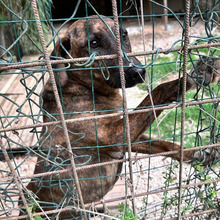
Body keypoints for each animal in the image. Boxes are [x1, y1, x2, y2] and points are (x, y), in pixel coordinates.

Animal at [19, 16, 219, 218]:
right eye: (93, 43)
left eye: (124, 34)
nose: (138, 71)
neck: (85, 87)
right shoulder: (115, 136)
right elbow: (157, 91)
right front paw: (189, 79)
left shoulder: (131, 136)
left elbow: (164, 145)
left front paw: (197, 154)